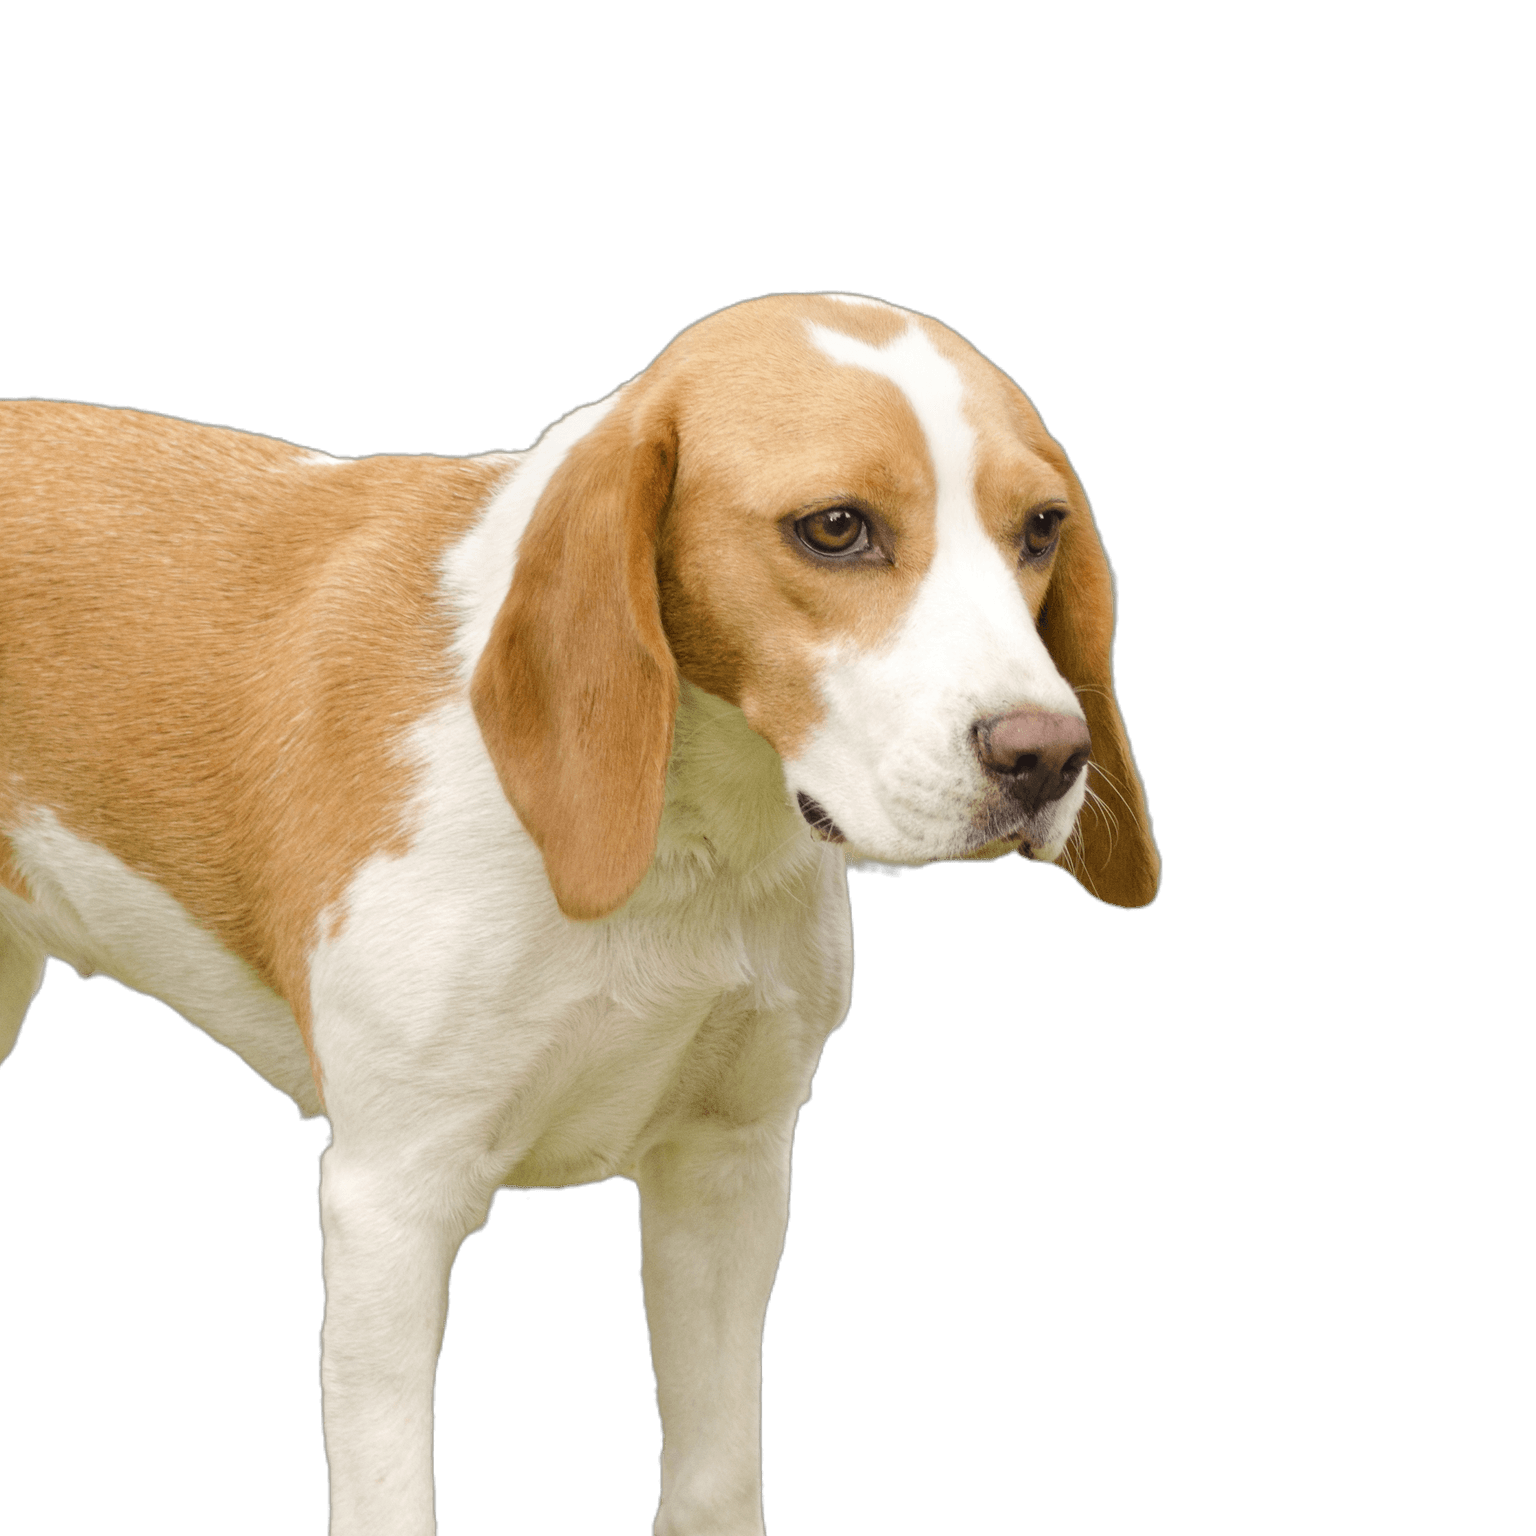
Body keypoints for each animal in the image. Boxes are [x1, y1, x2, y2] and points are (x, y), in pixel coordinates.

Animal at [0, 293, 1155, 1529]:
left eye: (1040, 528)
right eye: (837, 528)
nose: (1048, 756)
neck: (686, 847)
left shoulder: (729, 1169)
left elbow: (714, 1480)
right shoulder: (391, 1202)